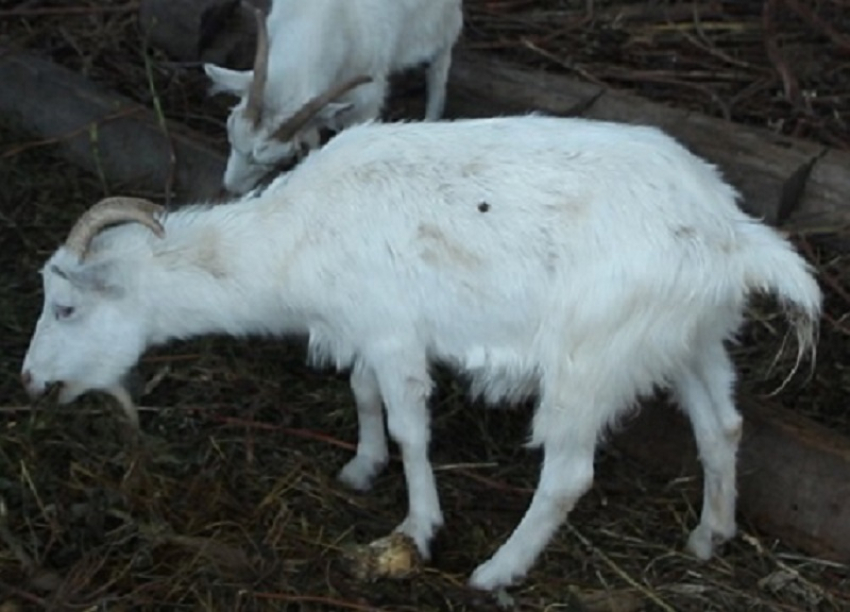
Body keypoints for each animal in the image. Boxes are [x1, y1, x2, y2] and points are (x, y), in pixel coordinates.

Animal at [21, 113, 820, 588]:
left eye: (66, 306)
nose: (30, 383)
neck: (296, 233)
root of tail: (731, 235)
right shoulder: (362, 328)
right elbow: (363, 396)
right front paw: (360, 467)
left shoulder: (393, 331)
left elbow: (411, 429)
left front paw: (418, 526)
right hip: (692, 338)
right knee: (722, 428)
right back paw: (709, 535)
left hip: (589, 359)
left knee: (568, 475)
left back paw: (497, 572)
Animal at [203, 0, 460, 194]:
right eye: (231, 134)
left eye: (280, 159)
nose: (232, 187)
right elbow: (312, 134)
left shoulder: (368, 96)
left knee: (440, 63)